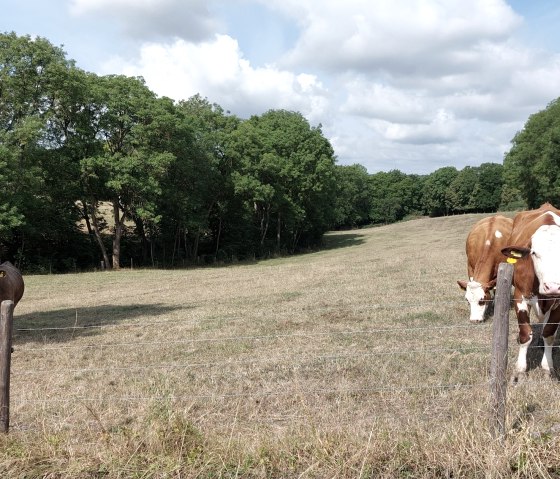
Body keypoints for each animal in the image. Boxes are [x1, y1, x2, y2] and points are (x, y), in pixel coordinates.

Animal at [504, 203, 560, 382]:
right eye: (534, 252)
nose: (553, 287)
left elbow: (549, 333)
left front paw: (547, 367)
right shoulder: (520, 297)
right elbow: (525, 334)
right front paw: (520, 369)